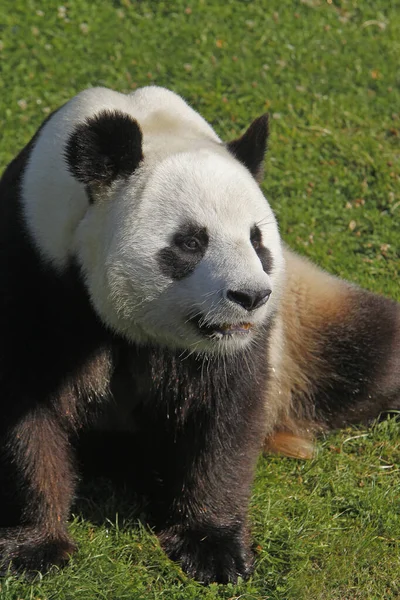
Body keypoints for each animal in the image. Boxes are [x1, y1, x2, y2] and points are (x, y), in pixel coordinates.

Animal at [0, 86, 398, 584]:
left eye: (257, 241)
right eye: (191, 242)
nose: (250, 296)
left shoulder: (247, 341)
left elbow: (223, 413)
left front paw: (212, 547)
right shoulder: (34, 271)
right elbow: (26, 412)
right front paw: (35, 548)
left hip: (309, 326)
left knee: (372, 349)